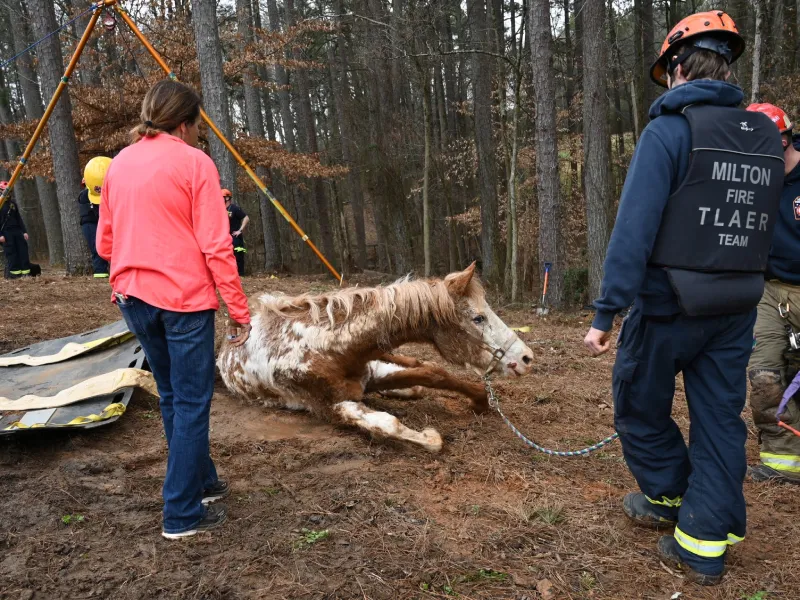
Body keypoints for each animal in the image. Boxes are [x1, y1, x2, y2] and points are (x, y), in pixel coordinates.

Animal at [217, 263, 534, 452]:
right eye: (478, 318)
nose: (526, 357)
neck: (323, 346)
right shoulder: (331, 406)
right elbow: (392, 426)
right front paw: (430, 435)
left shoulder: (373, 372)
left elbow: (434, 373)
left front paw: (480, 399)